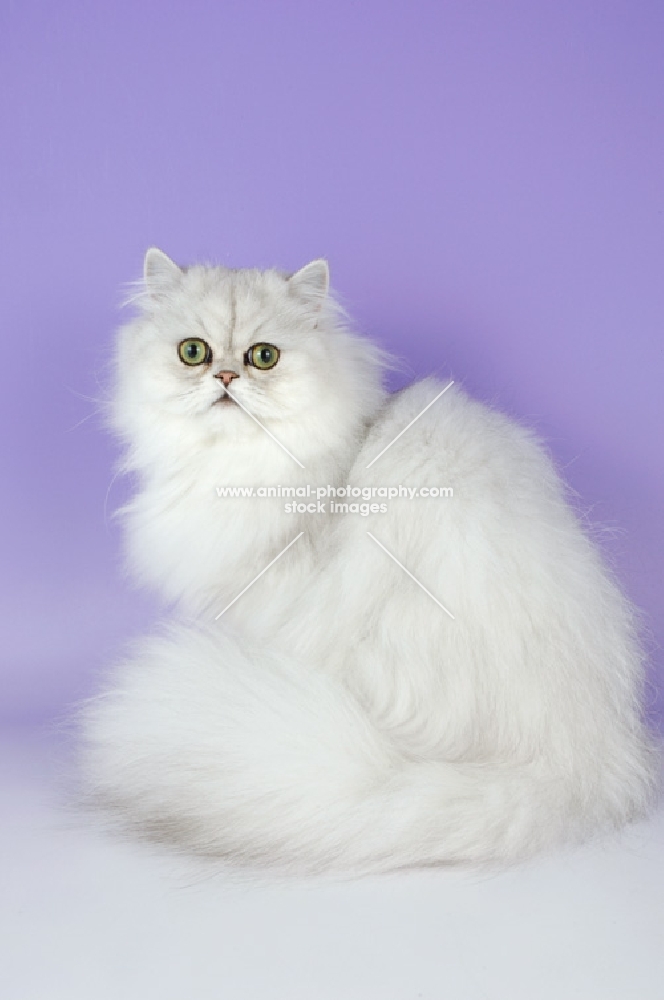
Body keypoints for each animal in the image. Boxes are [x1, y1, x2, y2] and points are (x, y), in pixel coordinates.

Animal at [79, 250, 660, 876]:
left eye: (264, 357)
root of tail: (577, 764)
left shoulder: (270, 605)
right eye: (194, 352)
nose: (227, 378)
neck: (237, 467)